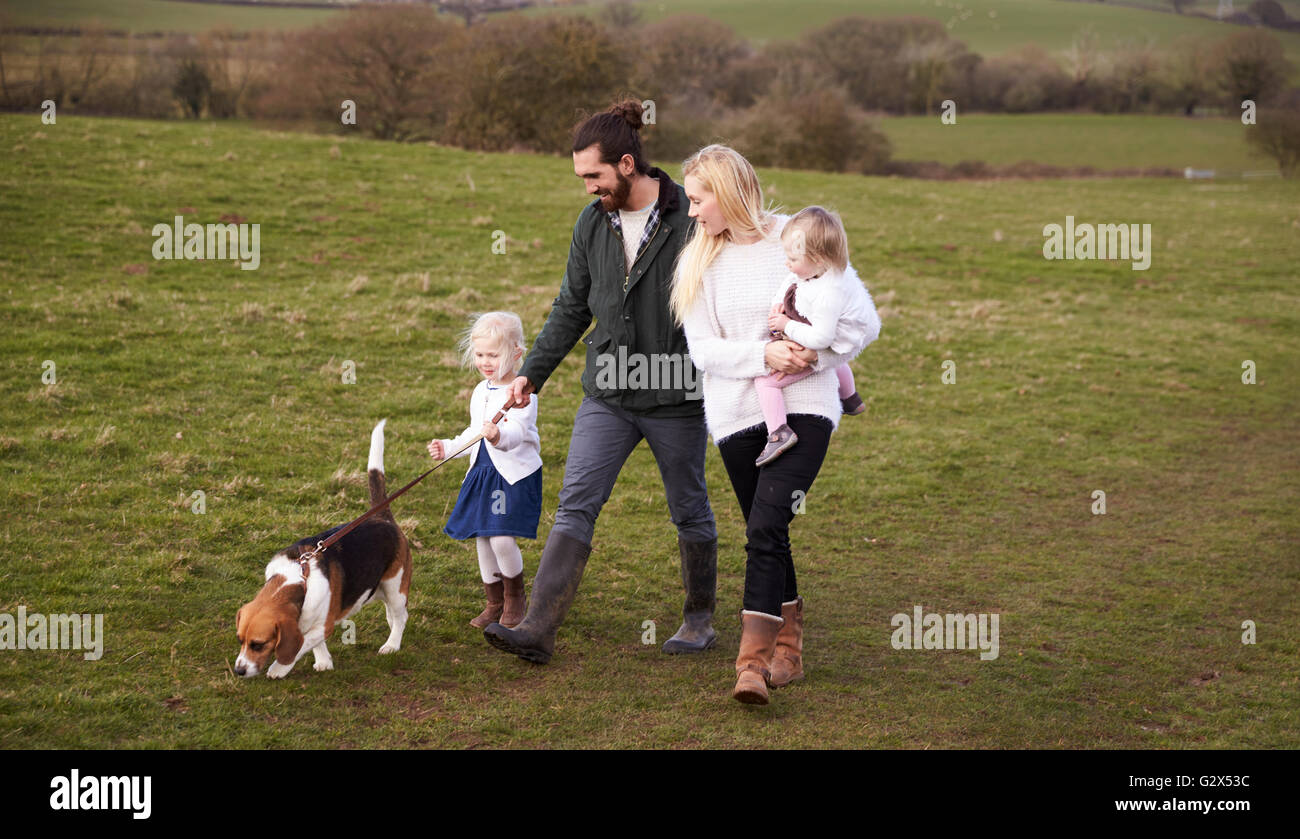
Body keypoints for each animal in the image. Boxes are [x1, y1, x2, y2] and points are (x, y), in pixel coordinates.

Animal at [235, 416, 410, 676]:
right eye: (240, 640)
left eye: (258, 644)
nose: (239, 670)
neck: (299, 578)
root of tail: (381, 517)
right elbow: (313, 642)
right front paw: (324, 661)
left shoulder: (323, 625)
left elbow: (301, 644)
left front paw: (280, 668)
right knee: (393, 613)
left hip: (395, 585)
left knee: (401, 617)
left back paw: (392, 644)